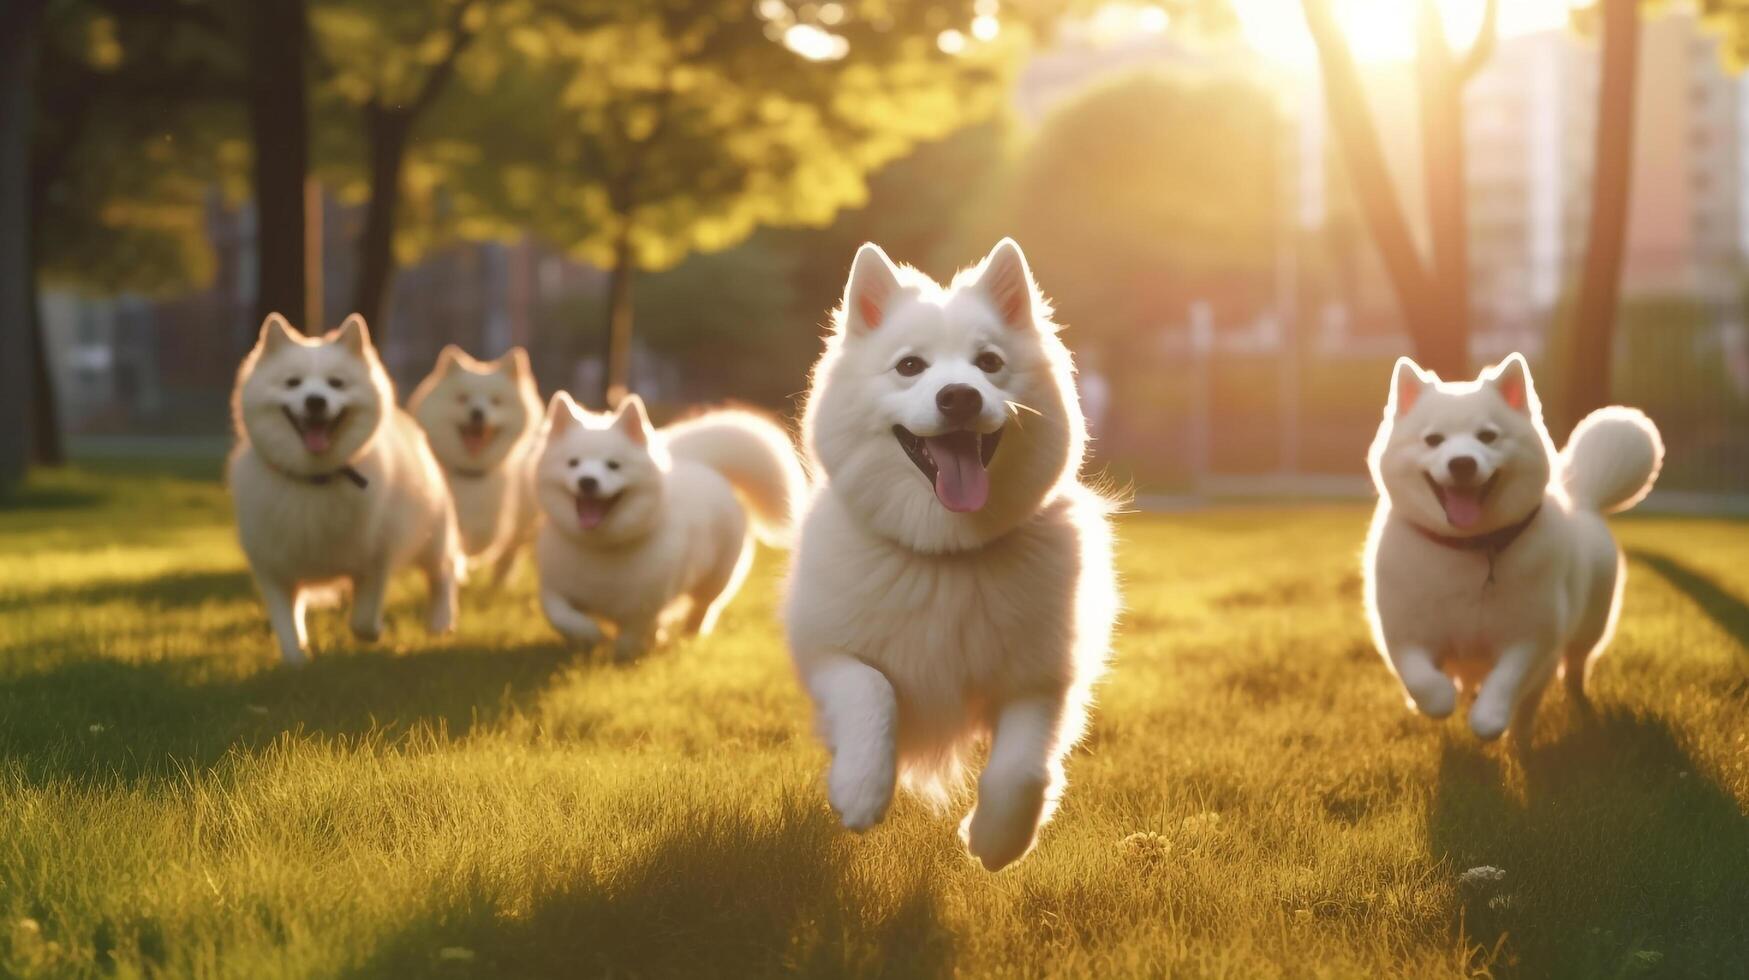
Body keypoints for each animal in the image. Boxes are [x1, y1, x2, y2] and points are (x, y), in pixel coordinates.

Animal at [232, 313, 465, 665]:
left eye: (336, 383)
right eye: (293, 383)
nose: (315, 400)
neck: (315, 479)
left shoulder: (376, 557)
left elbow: (363, 618)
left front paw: (374, 633)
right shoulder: (274, 568)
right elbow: (287, 625)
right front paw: (297, 660)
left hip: (431, 534)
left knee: (443, 572)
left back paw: (440, 621)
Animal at [411, 344, 542, 581]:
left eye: (496, 401)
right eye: (462, 398)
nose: (477, 413)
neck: (469, 473)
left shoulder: (488, 522)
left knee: (509, 553)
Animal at [531, 390, 804, 658]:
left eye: (613, 465)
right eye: (573, 463)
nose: (587, 481)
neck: (602, 547)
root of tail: (703, 464)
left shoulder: (645, 606)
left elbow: (631, 638)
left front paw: (625, 654)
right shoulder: (554, 587)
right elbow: (560, 615)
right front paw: (589, 635)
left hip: (716, 578)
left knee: (704, 605)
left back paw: (690, 631)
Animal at [783, 241, 1112, 868]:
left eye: (988, 362)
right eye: (911, 366)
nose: (959, 395)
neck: (946, 553)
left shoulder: (1043, 678)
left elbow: (1023, 769)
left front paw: (997, 838)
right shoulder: (827, 652)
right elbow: (872, 691)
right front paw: (860, 788)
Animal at [1357, 353, 1658, 742]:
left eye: (1487, 436)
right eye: (1433, 440)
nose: (1462, 462)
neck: (1469, 547)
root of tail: (1582, 496)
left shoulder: (1531, 638)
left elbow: (1506, 682)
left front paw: (1489, 719)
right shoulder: (1404, 634)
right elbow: (1425, 683)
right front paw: (1436, 700)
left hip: (1585, 633)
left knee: (1565, 675)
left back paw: (1535, 727)